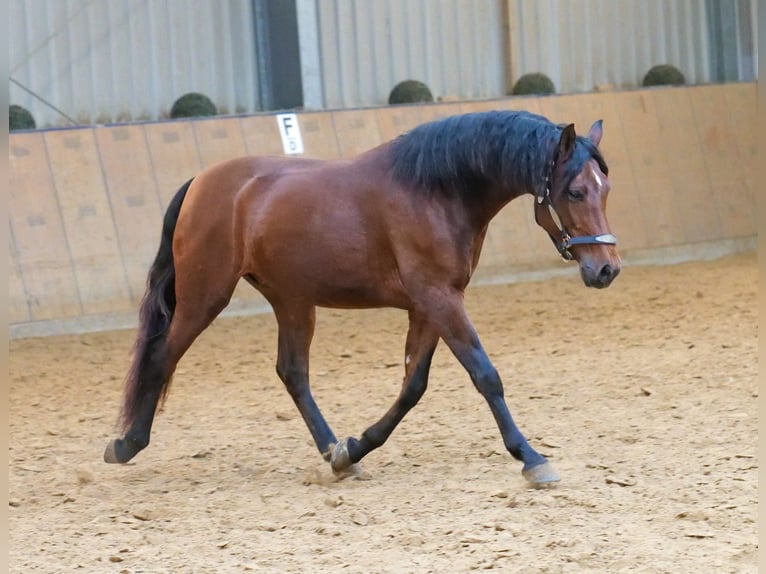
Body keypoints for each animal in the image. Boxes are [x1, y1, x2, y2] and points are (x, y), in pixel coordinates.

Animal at [102, 111, 620, 486]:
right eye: (575, 191)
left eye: (605, 188)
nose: (607, 269)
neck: (436, 189)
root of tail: (201, 182)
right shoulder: (440, 299)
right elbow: (485, 375)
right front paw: (531, 457)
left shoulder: (430, 306)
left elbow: (412, 386)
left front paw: (355, 446)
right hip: (205, 298)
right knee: (163, 356)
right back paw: (127, 444)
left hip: (292, 301)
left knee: (292, 373)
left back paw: (335, 453)